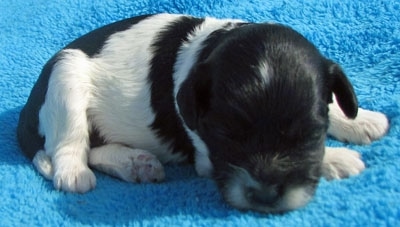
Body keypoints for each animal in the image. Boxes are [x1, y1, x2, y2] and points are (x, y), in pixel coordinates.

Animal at [17, 13, 390, 213]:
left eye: (311, 133)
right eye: (226, 135)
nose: (264, 198)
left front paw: (362, 119)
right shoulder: (209, 157)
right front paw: (339, 158)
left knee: (93, 147)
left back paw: (136, 163)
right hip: (67, 77)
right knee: (67, 148)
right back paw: (77, 174)